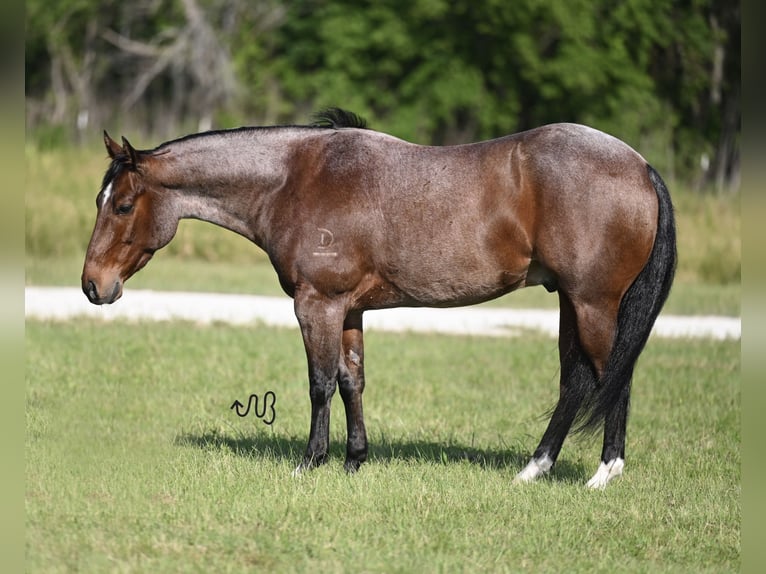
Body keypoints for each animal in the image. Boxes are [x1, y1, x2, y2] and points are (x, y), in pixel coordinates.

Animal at [81, 109, 676, 490]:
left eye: (123, 205)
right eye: (100, 200)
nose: (92, 285)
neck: (295, 178)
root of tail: (641, 165)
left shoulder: (316, 305)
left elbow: (320, 383)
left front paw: (310, 463)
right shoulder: (349, 310)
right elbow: (352, 381)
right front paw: (354, 461)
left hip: (593, 304)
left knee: (611, 377)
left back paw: (603, 475)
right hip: (570, 305)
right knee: (576, 382)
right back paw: (534, 469)